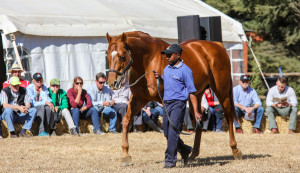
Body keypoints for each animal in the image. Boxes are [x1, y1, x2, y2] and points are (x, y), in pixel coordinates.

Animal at [105, 31, 241, 166]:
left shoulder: (164, 100)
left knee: (229, 117)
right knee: (199, 120)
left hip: (222, 93)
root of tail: (218, 45)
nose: (112, 83)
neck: (148, 61)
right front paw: (125, 155)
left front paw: (175, 154)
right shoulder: (138, 99)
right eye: (107, 56)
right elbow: (126, 120)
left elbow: (169, 126)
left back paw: (235, 150)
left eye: (122, 56)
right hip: (196, 95)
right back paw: (193, 154)